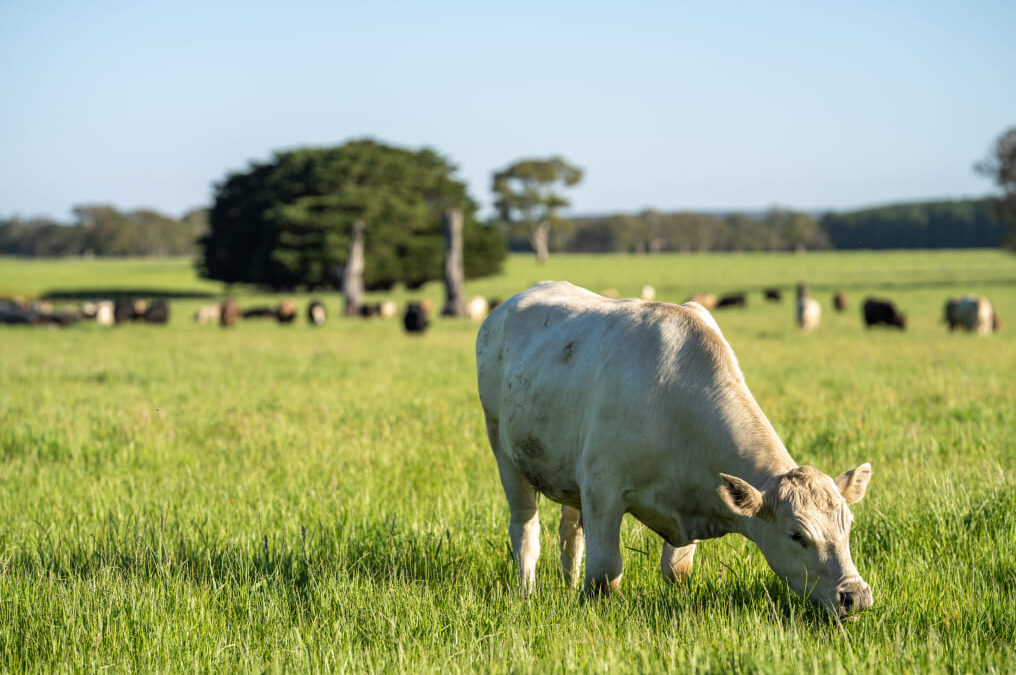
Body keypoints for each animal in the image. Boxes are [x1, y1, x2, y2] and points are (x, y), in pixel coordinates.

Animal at [475, 282, 873, 618]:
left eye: (848, 527)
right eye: (797, 535)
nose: (854, 595)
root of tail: (506, 306)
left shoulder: (693, 496)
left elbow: (677, 570)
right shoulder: (603, 490)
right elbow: (605, 575)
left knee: (569, 534)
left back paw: (568, 584)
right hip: (503, 450)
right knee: (525, 530)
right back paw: (526, 590)